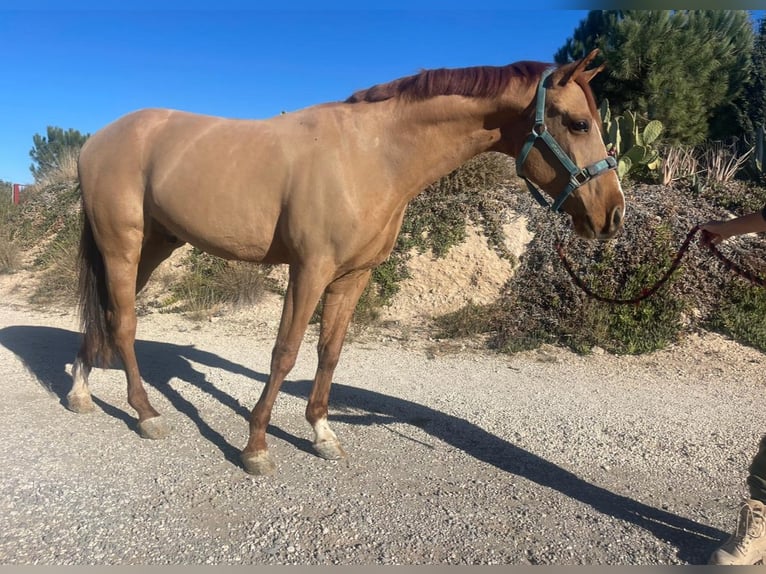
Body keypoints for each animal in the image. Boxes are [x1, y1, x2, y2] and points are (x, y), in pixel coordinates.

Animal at [70, 49, 624, 476]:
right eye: (578, 123)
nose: (613, 215)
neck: (371, 155)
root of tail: (97, 140)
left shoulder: (353, 276)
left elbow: (330, 353)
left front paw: (322, 434)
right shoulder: (309, 269)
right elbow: (285, 353)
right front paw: (256, 447)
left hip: (152, 248)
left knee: (105, 316)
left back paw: (79, 389)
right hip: (123, 245)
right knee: (124, 323)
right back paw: (145, 413)